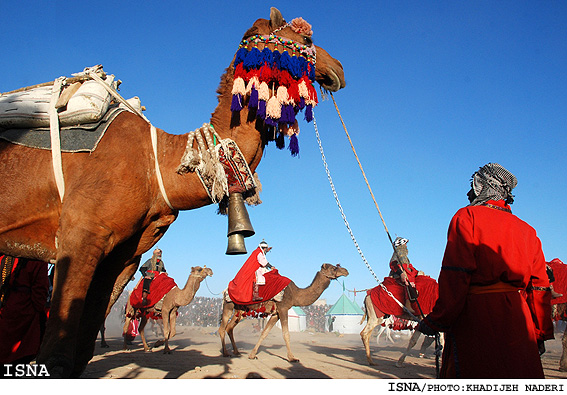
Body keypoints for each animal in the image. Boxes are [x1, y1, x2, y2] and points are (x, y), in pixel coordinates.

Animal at [219, 264, 348, 364]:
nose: (346, 271)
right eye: (334, 268)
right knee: (222, 328)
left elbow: (264, 333)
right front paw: (292, 358)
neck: (295, 294)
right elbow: (286, 334)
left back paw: (236, 352)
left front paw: (252, 355)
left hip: (239, 309)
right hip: (229, 305)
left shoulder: (276, 314)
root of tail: (225, 289)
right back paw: (226, 353)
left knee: (229, 327)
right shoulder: (283, 308)